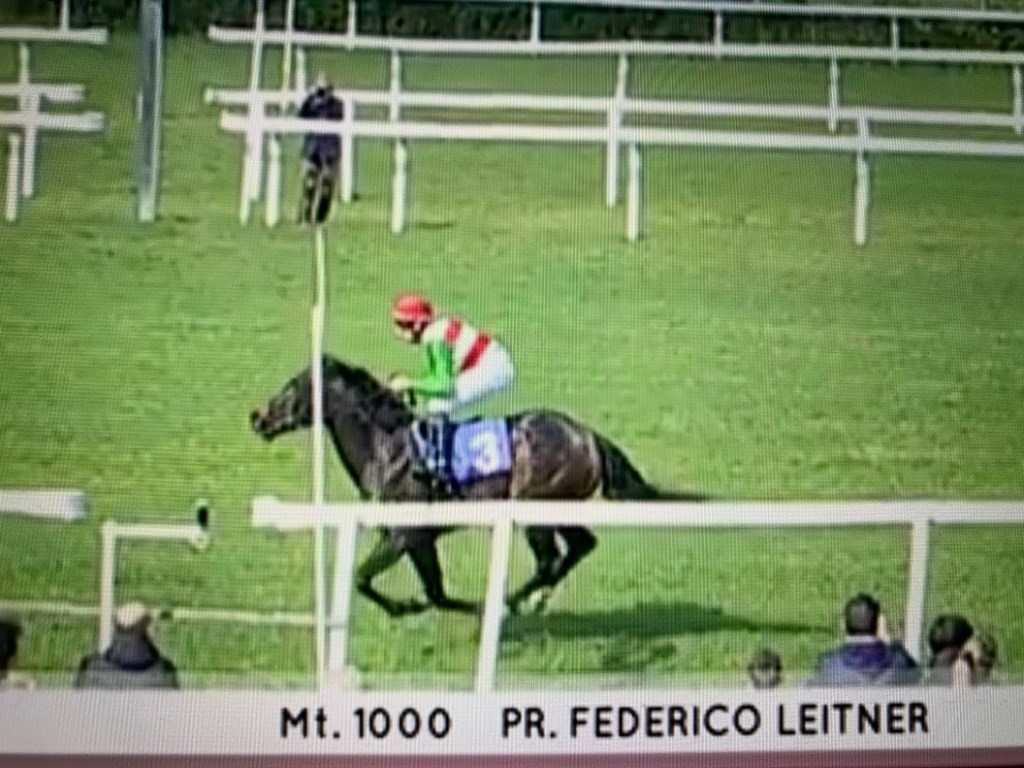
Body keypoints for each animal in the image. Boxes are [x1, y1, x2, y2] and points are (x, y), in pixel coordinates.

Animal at [250, 355, 707, 617]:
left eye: (292, 388)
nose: (258, 418)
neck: (388, 446)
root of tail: (588, 435)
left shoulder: (403, 535)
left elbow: (364, 577)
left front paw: (406, 607)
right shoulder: (417, 539)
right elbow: (434, 591)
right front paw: (418, 605)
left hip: (535, 509)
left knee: (549, 560)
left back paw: (512, 602)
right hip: (558, 507)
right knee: (581, 546)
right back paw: (531, 602)